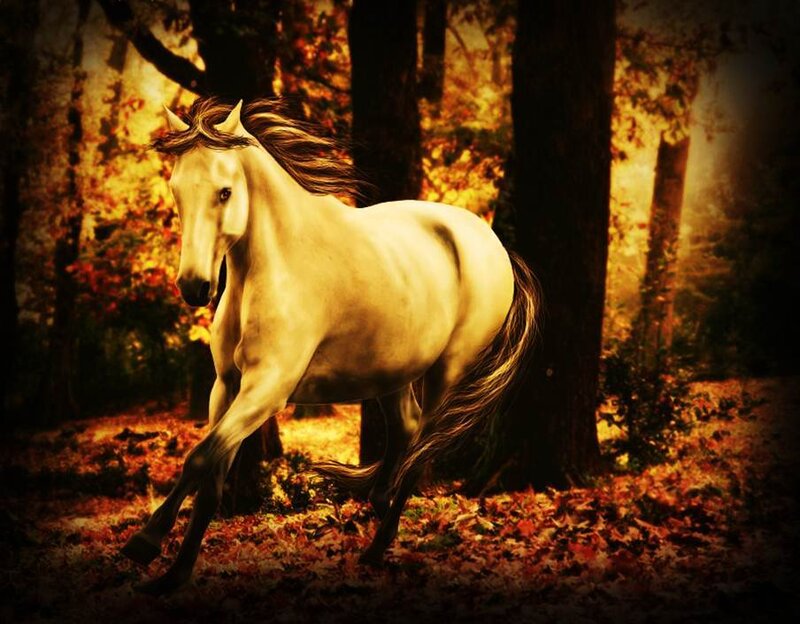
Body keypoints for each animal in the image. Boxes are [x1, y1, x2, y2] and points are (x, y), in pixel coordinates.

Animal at [121, 97, 538, 594]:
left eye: (224, 192)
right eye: (176, 190)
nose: (194, 287)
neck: (275, 267)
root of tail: (494, 244)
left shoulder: (267, 391)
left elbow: (199, 459)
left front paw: (144, 543)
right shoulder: (226, 386)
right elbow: (211, 480)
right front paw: (174, 574)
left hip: (448, 373)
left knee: (422, 449)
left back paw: (379, 543)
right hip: (391, 373)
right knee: (407, 431)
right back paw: (379, 519)